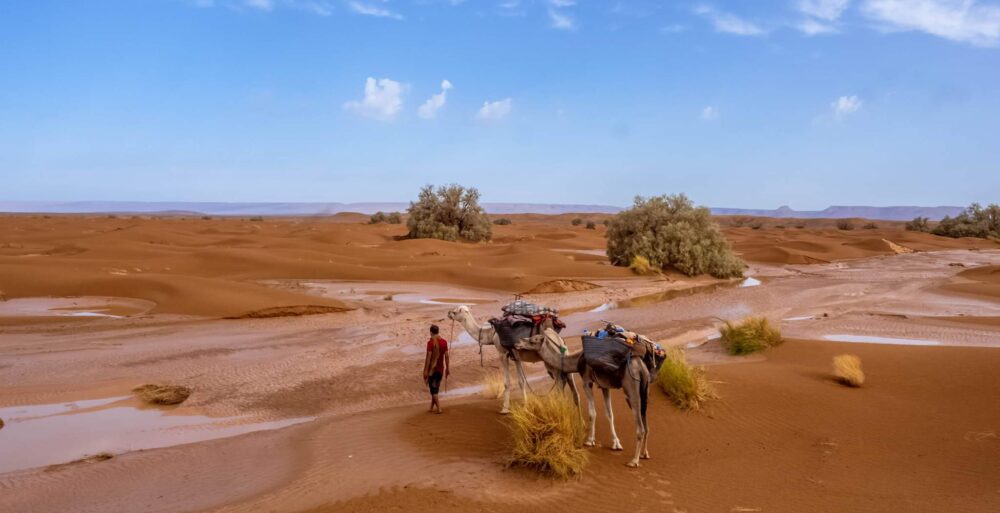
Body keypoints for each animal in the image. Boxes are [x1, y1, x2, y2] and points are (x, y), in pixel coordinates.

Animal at [446, 306, 580, 414]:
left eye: (457, 310)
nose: (449, 313)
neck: (491, 335)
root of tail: (560, 342)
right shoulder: (516, 357)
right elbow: (521, 381)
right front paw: (525, 406)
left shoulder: (502, 354)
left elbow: (507, 382)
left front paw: (505, 409)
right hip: (565, 358)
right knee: (572, 387)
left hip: (551, 363)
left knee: (559, 384)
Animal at [520, 328, 652, 468]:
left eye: (533, 340)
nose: (519, 342)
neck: (577, 360)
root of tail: (641, 367)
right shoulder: (604, 386)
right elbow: (609, 414)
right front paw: (616, 443)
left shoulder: (587, 381)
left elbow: (592, 412)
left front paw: (589, 440)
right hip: (645, 389)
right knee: (646, 423)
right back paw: (644, 454)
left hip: (631, 386)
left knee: (640, 426)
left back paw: (634, 461)